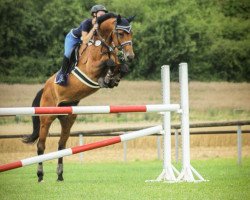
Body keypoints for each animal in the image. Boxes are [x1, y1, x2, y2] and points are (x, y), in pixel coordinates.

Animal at [22, 13, 135, 183]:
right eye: (121, 33)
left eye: (131, 33)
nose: (130, 56)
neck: (102, 43)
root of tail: (45, 88)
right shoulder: (90, 69)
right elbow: (108, 62)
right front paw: (107, 78)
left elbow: (120, 66)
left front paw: (112, 78)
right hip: (47, 117)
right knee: (41, 146)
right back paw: (40, 175)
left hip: (68, 118)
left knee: (61, 146)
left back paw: (60, 175)